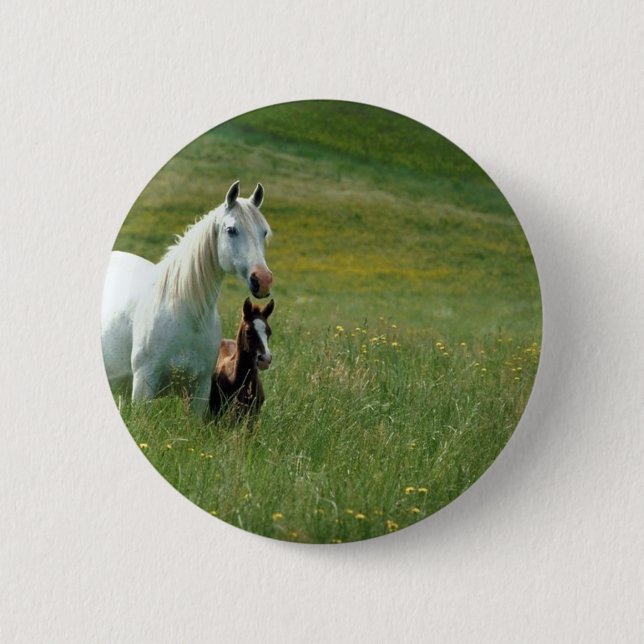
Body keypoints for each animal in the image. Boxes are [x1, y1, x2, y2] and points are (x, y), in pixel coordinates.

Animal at [101, 180, 273, 415]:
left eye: (264, 233)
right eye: (231, 230)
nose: (262, 280)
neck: (185, 315)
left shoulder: (200, 390)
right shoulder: (144, 387)